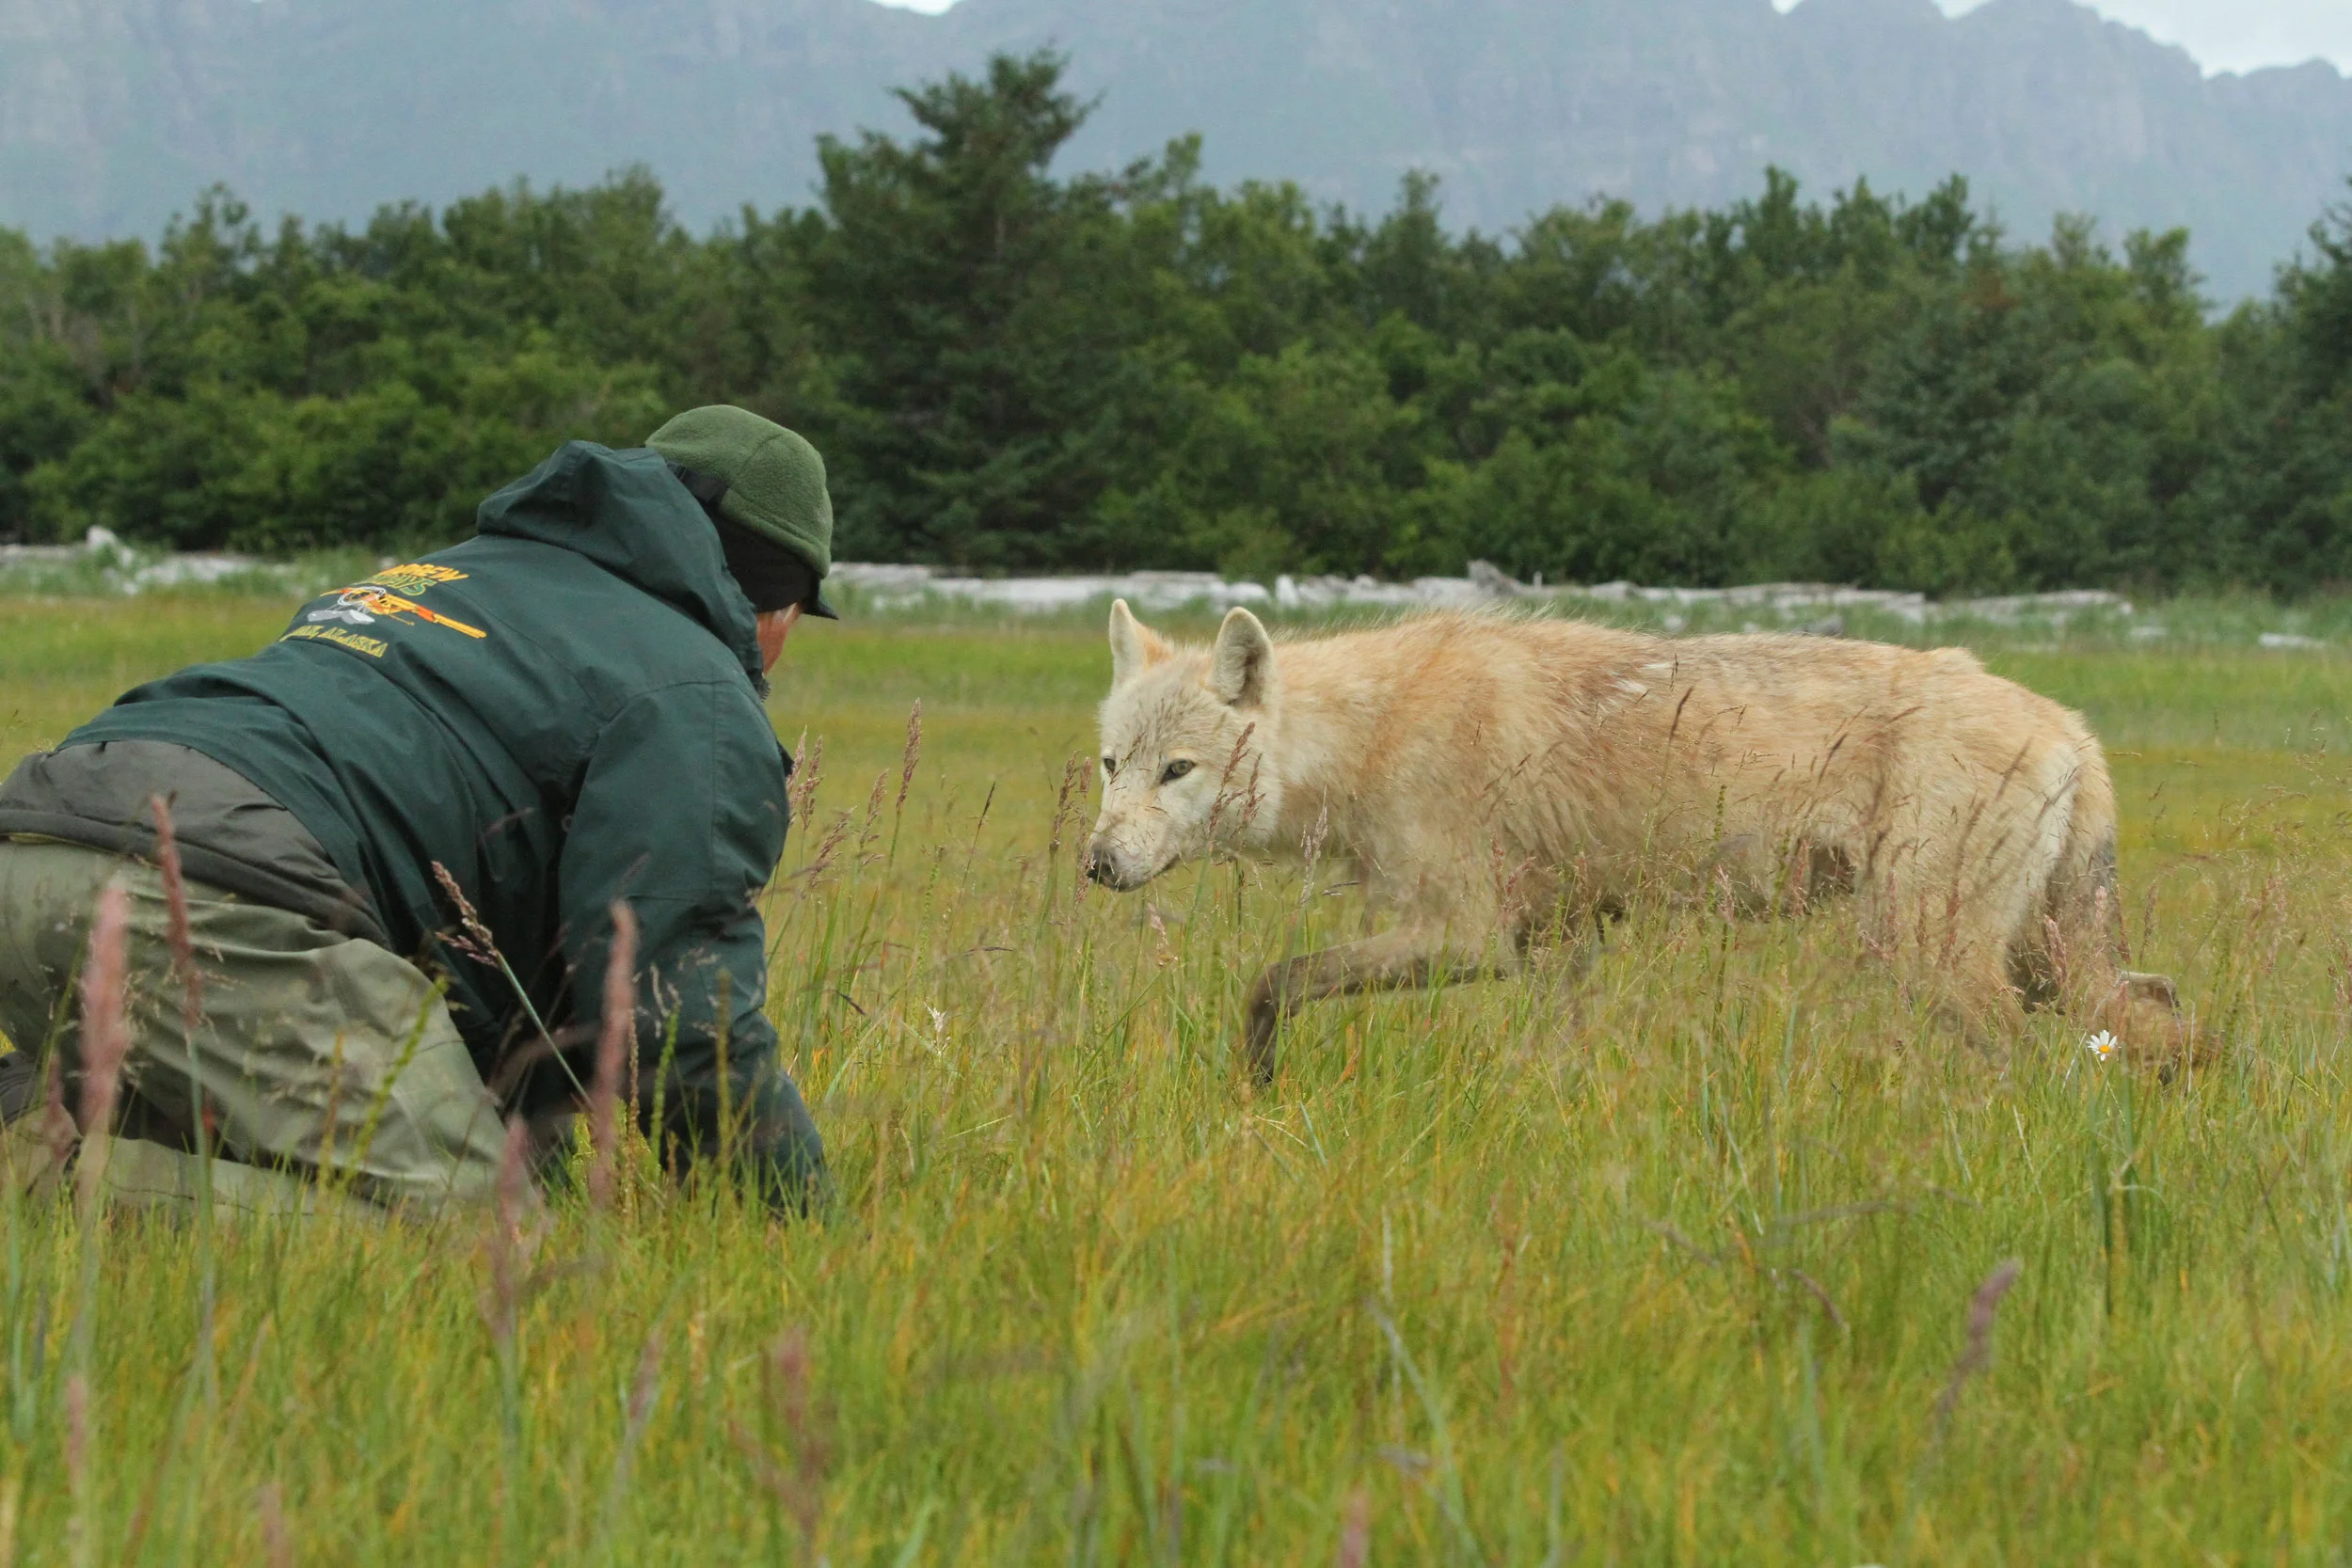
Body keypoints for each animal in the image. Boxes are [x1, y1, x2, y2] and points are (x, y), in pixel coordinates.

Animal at [1084, 600, 2193, 1080]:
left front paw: (1258, 1083)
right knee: (2166, 1021)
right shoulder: (1560, 945)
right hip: (2045, 963)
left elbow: (1269, 981)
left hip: (1937, 959)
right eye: (1109, 765)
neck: (1370, 732)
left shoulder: (1468, 939)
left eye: (1175, 770)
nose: (1095, 864)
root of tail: (2073, 727)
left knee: (2051, 1058)